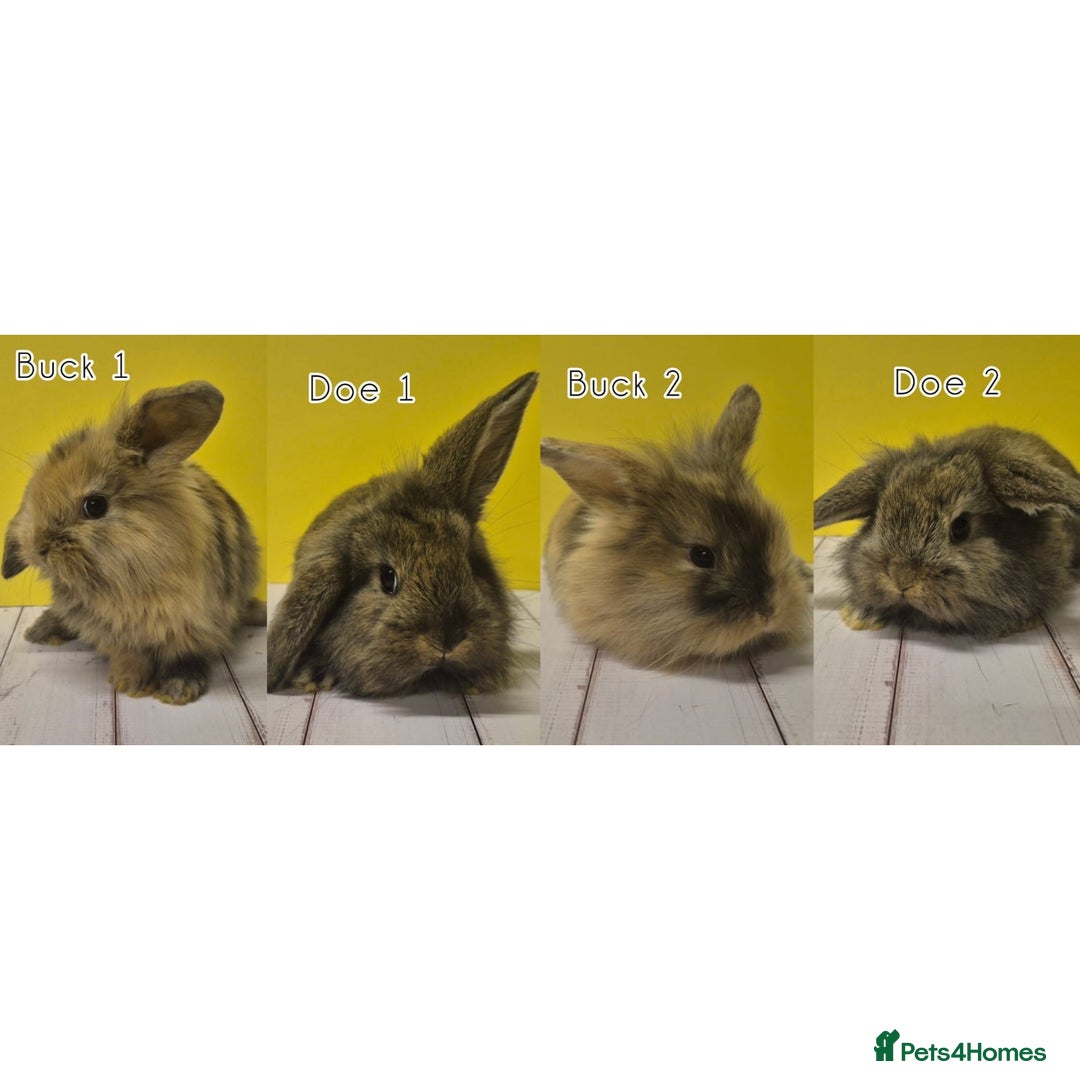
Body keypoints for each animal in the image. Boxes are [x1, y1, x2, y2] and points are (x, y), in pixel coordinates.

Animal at [2, 381, 264, 705]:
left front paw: (178, 689)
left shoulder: (191, 625)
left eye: (95, 505)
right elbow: (131, 657)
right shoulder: (119, 635)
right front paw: (129, 684)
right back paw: (40, 630)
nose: (38, 547)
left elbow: (183, 656)